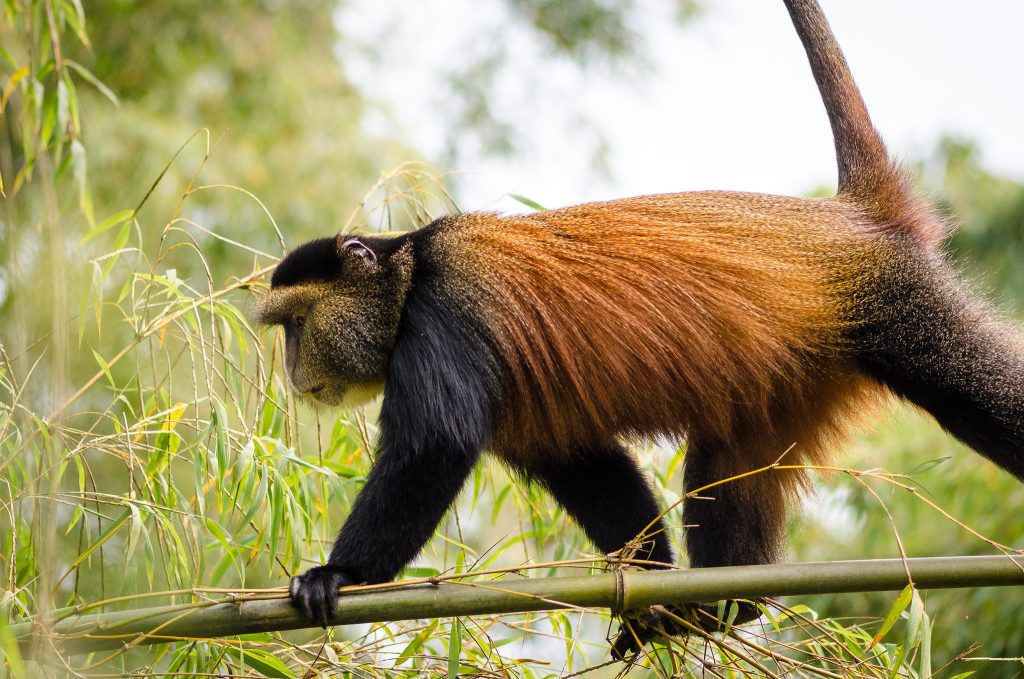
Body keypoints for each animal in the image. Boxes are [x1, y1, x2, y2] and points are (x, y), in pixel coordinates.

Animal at [254, 0, 1024, 659]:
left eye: (296, 322)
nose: (292, 370)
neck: (407, 272)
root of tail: (854, 218)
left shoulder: (448, 313)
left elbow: (432, 447)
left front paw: (338, 576)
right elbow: (582, 461)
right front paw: (647, 579)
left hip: (898, 306)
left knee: (972, 389)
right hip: (791, 381)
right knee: (728, 472)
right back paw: (718, 607)